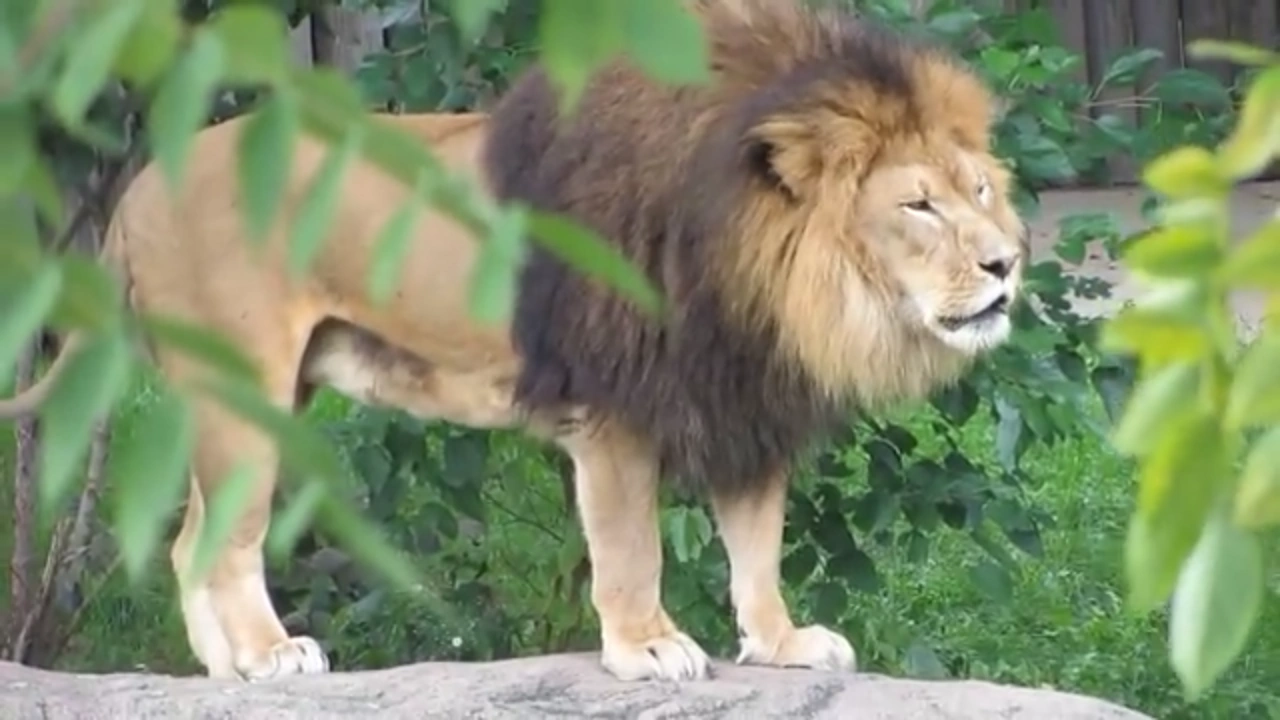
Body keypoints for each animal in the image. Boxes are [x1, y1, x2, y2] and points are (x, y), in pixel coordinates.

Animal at [0, 0, 1026, 683]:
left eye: (979, 189)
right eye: (918, 206)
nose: (1010, 262)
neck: (767, 275)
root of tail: (137, 186)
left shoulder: (739, 397)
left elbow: (757, 545)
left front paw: (780, 644)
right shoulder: (614, 414)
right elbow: (630, 550)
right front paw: (648, 646)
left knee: (189, 542)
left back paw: (225, 675)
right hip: (246, 387)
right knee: (229, 542)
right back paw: (270, 656)